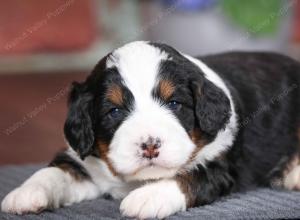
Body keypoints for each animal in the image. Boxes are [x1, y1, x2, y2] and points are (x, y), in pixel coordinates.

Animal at [1, 40, 298, 218]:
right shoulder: (84, 161)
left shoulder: (222, 166)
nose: (150, 145)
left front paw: (147, 197)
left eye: (175, 103)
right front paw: (25, 194)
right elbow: (54, 172)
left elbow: (189, 176)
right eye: (114, 111)